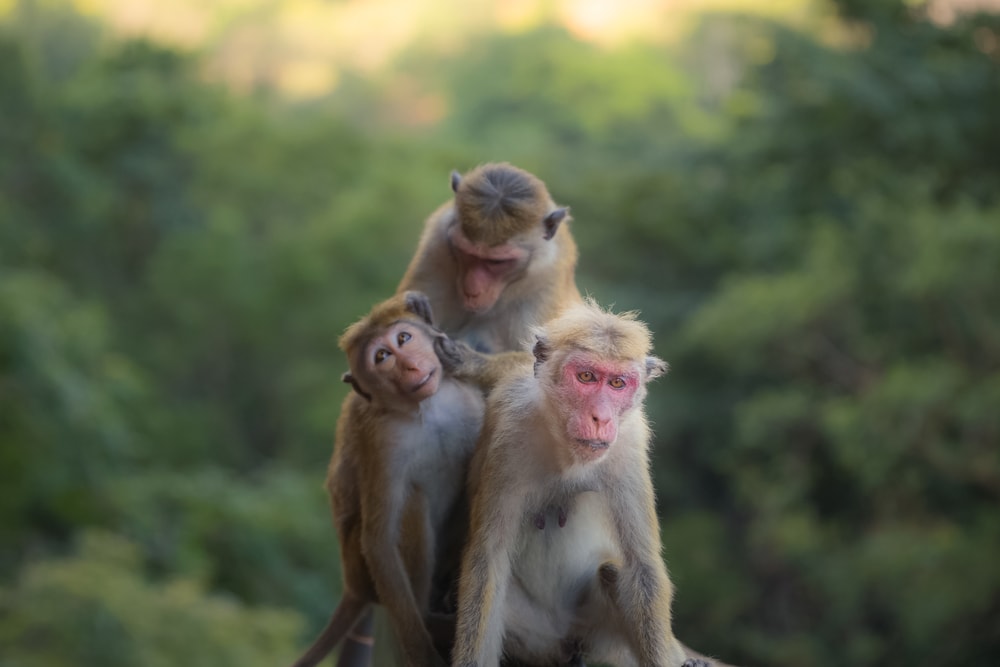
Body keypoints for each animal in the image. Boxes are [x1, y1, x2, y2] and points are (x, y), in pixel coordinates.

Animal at [290, 291, 488, 667]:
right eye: (382, 357)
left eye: (403, 339)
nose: (410, 366)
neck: (430, 409)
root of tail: (352, 586)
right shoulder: (385, 442)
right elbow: (380, 539)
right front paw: (421, 651)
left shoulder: (470, 403)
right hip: (363, 569)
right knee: (412, 505)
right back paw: (430, 618)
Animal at [450, 300, 714, 667]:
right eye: (586, 377)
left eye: (618, 383)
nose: (601, 418)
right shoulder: (510, 435)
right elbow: (488, 561)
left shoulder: (628, 444)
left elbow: (642, 567)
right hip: (536, 636)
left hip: (602, 634)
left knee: (612, 572)